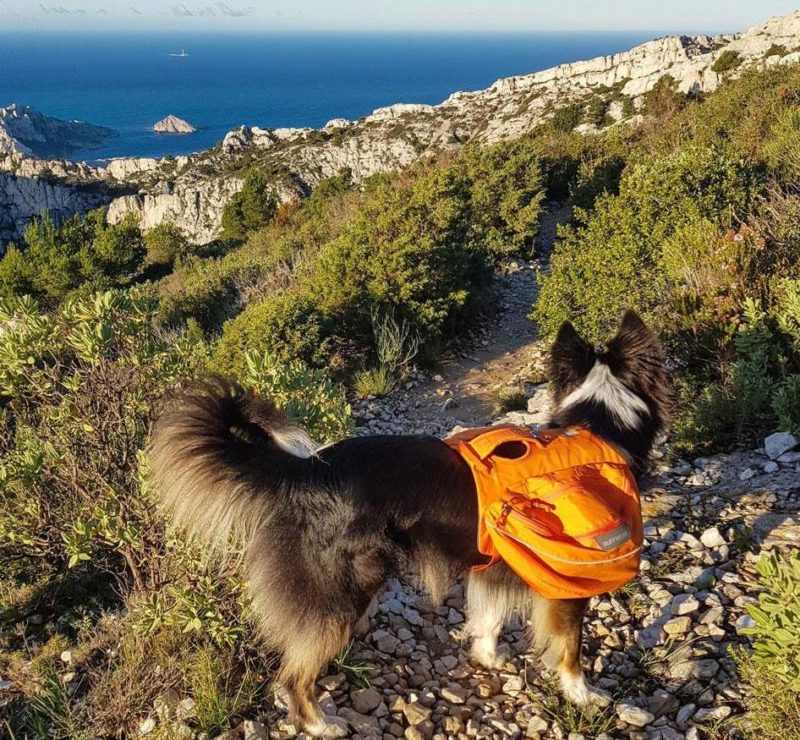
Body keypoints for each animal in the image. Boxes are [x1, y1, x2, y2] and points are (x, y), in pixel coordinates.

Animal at [152, 310, 676, 736]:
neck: (597, 426)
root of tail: (304, 471)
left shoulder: (495, 566)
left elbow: (489, 617)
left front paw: (488, 657)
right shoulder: (567, 581)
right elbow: (570, 647)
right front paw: (584, 695)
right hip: (344, 591)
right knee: (293, 675)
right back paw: (321, 724)